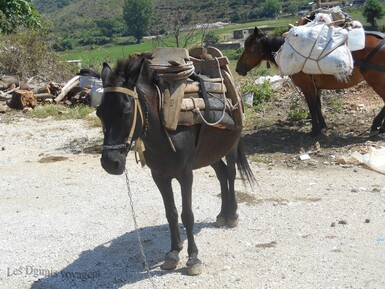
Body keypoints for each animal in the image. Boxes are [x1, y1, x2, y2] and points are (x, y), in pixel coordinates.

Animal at [96, 53, 255, 274]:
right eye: (99, 113)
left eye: (126, 111)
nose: (110, 163)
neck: (164, 128)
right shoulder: (160, 176)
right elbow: (171, 213)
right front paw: (173, 252)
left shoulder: (185, 175)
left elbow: (187, 214)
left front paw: (193, 258)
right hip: (209, 154)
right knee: (222, 174)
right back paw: (222, 215)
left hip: (230, 147)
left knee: (230, 175)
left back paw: (232, 215)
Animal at [236, 26, 384, 136]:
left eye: (250, 48)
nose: (238, 68)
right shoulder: (315, 87)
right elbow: (318, 106)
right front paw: (323, 125)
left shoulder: (307, 87)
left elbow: (312, 107)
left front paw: (315, 131)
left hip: (376, 81)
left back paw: (376, 125)